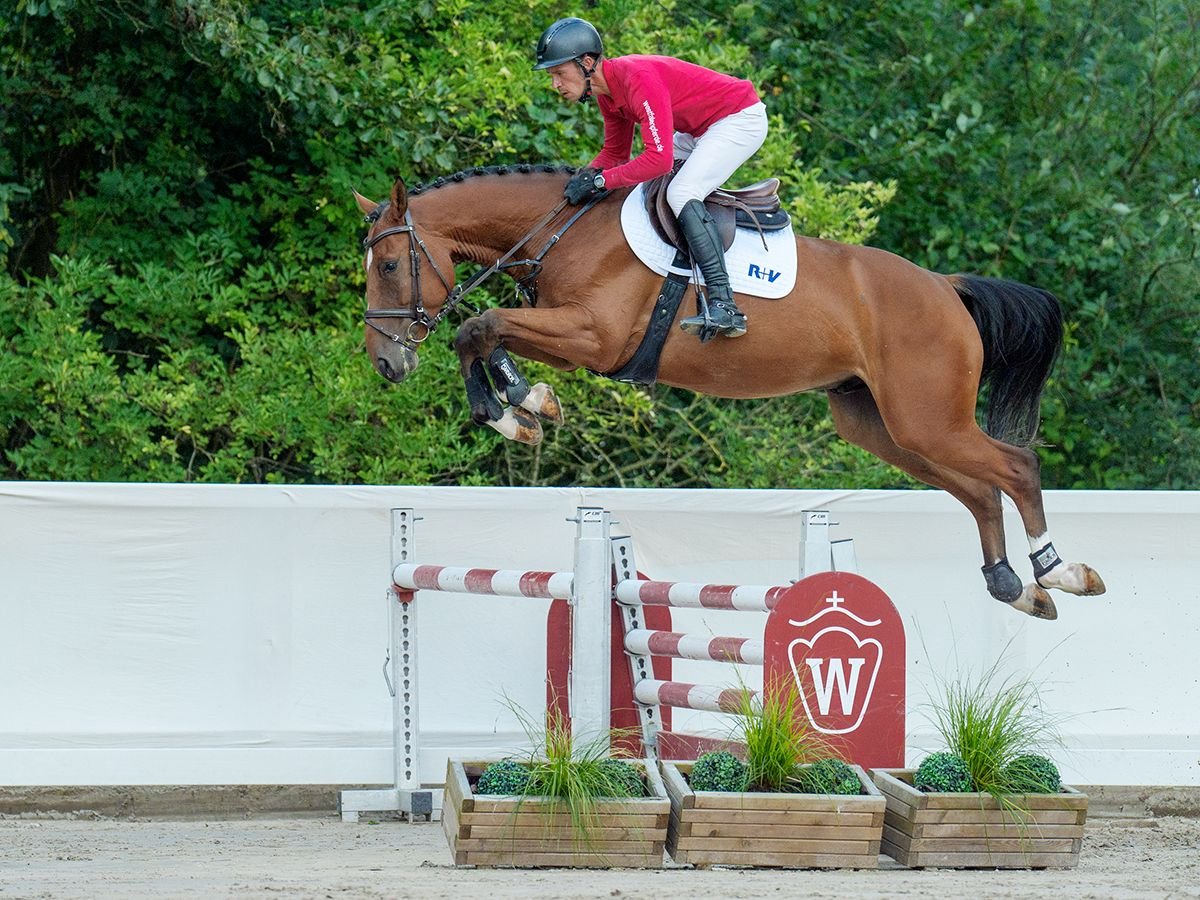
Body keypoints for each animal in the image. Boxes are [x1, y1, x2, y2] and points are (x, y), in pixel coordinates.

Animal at [352, 164, 1104, 619]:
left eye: (388, 265)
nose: (386, 364)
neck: (564, 230)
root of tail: (946, 287)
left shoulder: (595, 336)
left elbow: (475, 326)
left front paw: (513, 411)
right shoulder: (572, 335)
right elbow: (481, 332)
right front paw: (526, 408)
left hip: (927, 419)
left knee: (1015, 467)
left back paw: (1060, 574)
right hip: (885, 426)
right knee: (977, 488)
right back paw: (1013, 587)